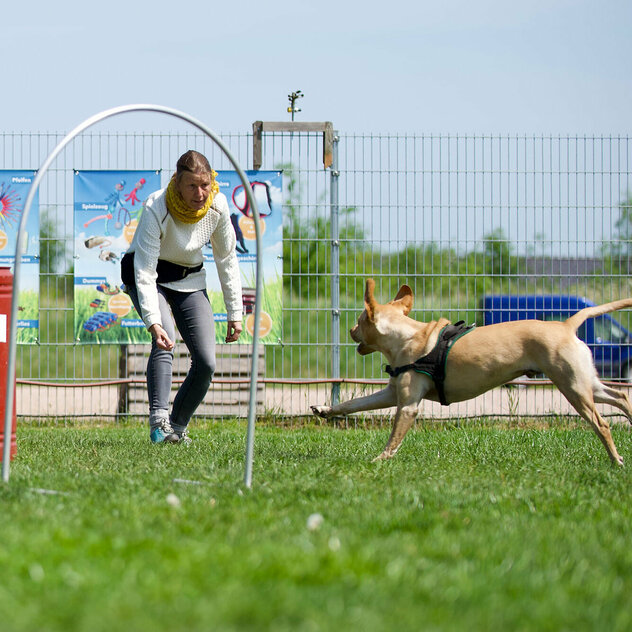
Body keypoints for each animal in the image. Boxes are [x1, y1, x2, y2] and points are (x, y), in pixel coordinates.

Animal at [312, 280, 632, 464]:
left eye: (359, 319)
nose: (350, 330)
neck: (407, 336)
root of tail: (566, 325)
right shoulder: (391, 393)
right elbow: (353, 403)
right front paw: (325, 409)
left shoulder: (408, 405)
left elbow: (394, 437)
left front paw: (380, 460)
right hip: (585, 381)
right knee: (621, 397)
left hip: (572, 386)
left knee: (602, 424)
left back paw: (615, 460)